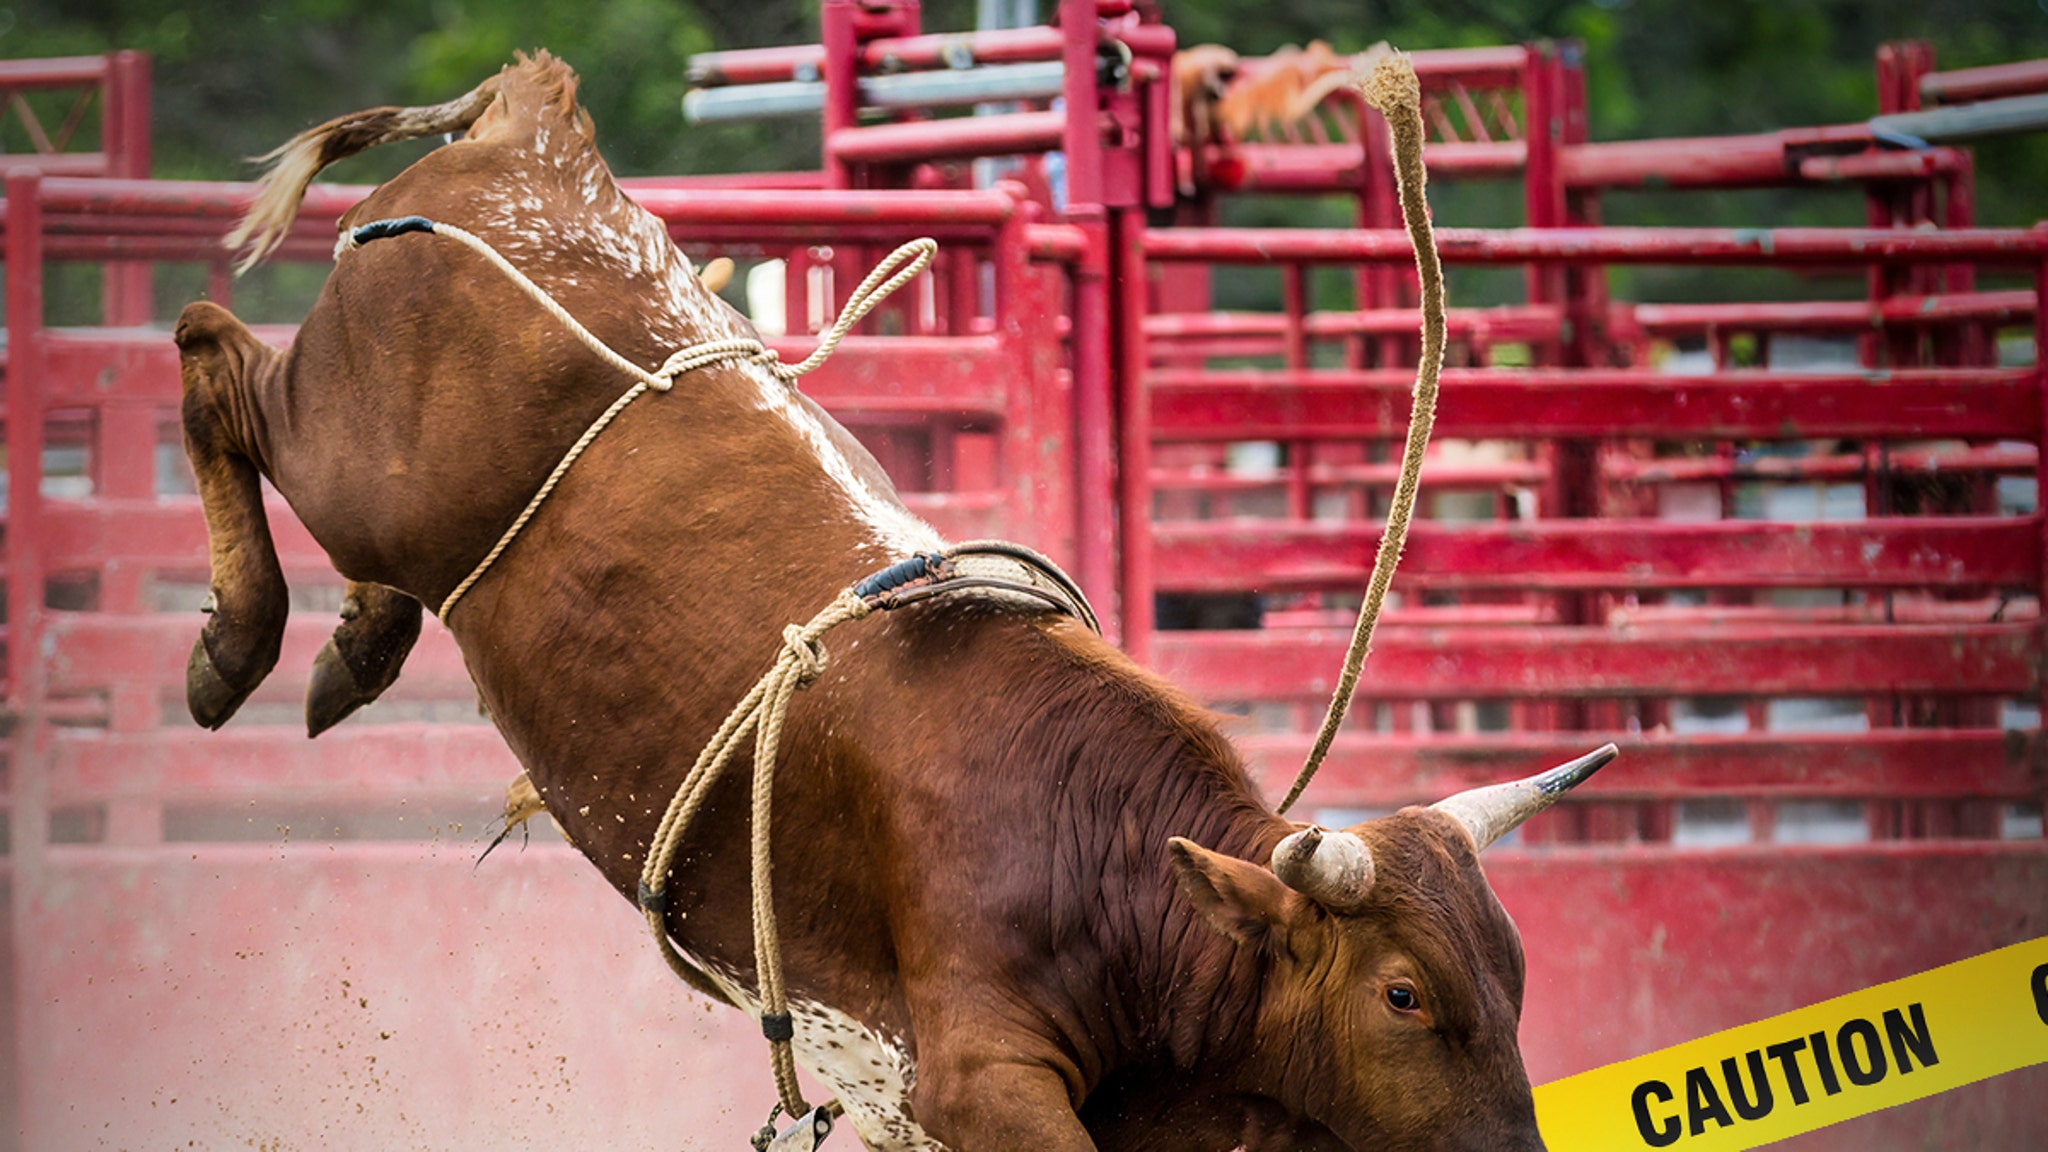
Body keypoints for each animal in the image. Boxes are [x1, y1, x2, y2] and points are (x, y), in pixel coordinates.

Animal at [182, 52, 1606, 1151]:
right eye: (1404, 998)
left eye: (1515, 976)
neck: (1102, 863)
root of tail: (534, 136)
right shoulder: (976, 1083)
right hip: (347, 455)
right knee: (214, 355)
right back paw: (242, 645)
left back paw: (354, 643)